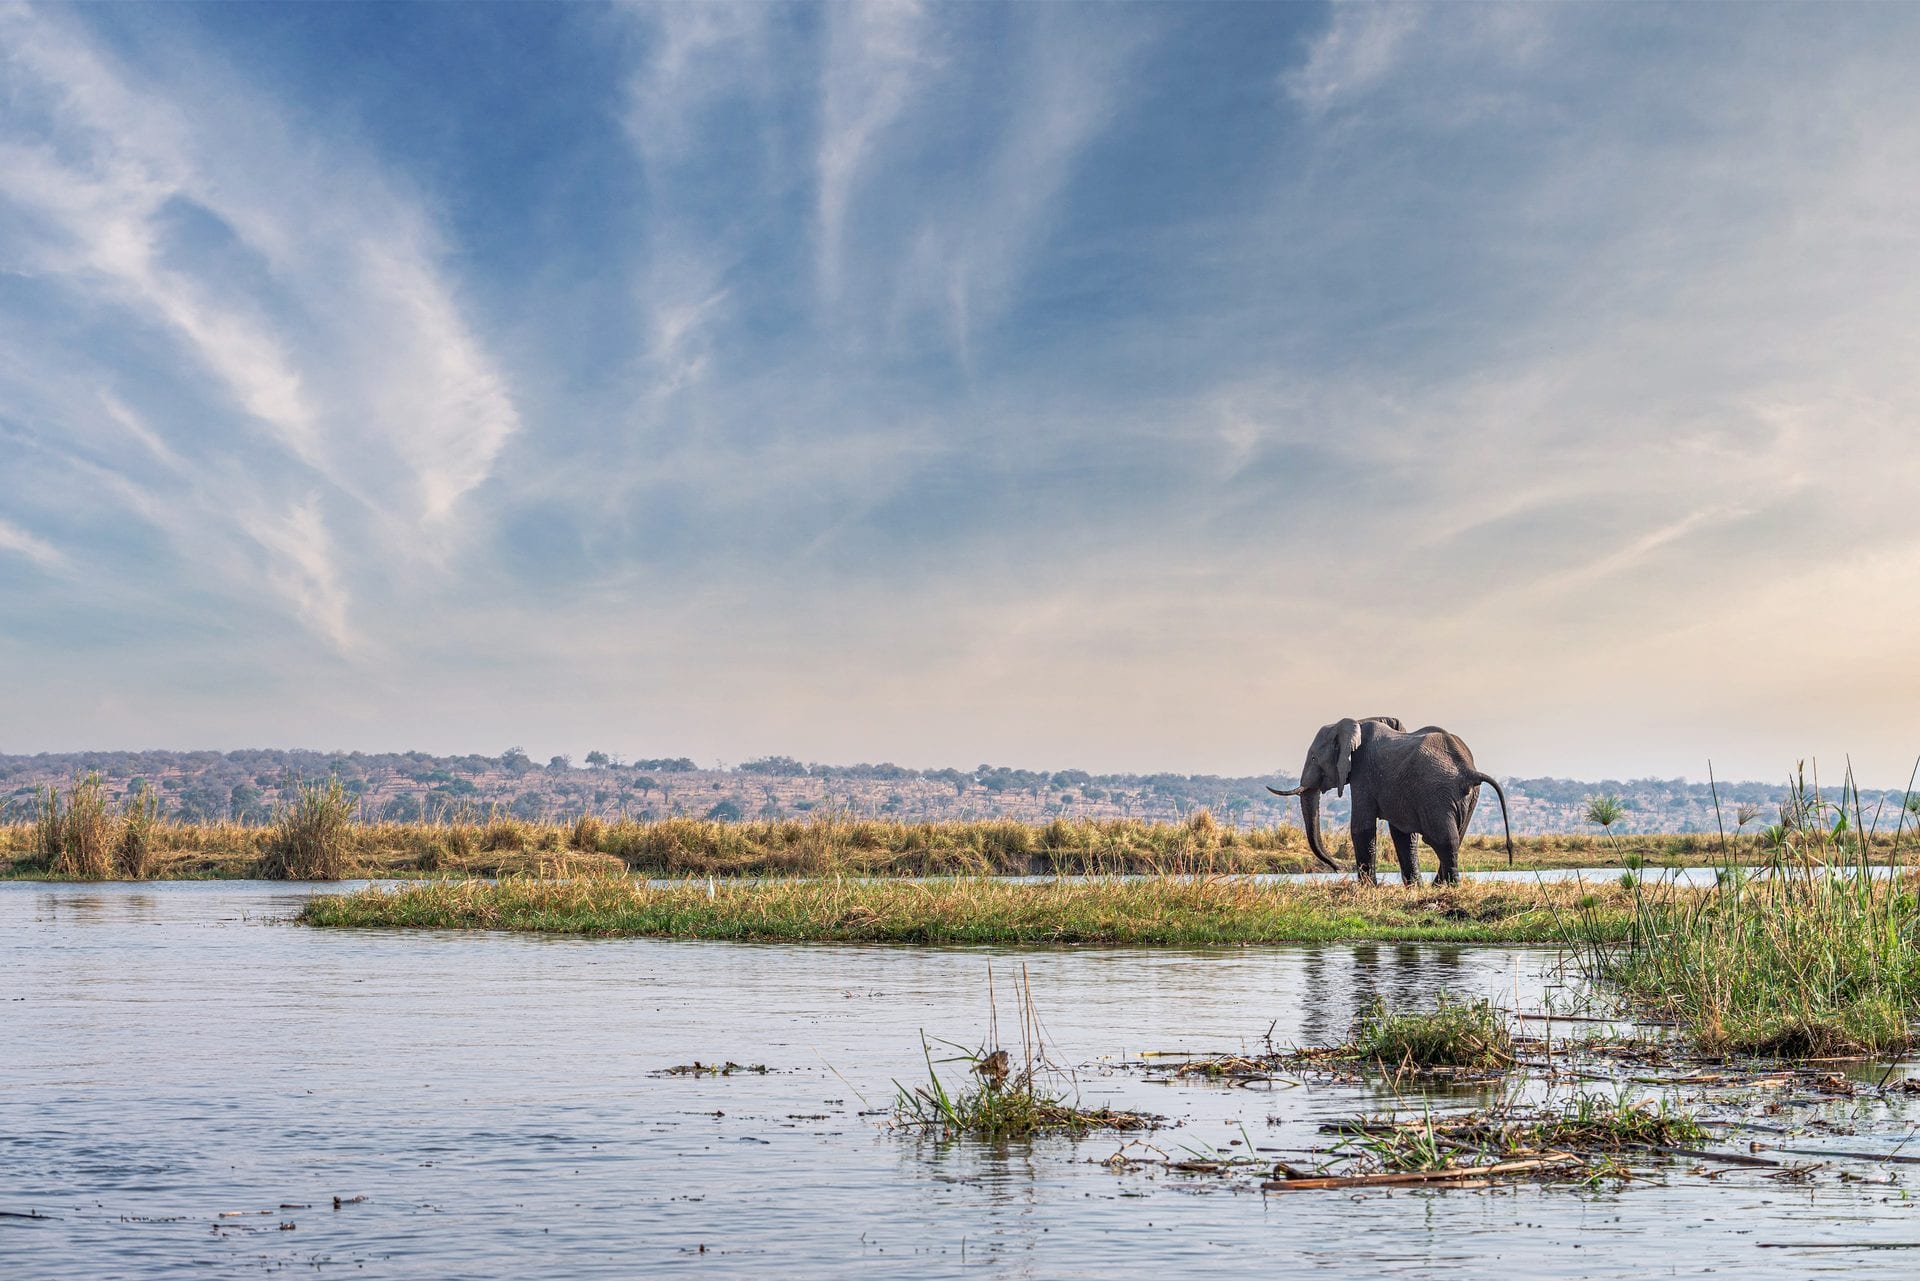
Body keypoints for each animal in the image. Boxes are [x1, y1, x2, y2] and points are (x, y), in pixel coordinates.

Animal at [1267, 716, 1513, 886]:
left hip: (1437, 792)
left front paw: (1368, 888)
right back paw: (1439, 886)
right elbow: (1402, 834)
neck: (1355, 723)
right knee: (1455, 838)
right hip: (1465, 797)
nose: (1338, 868)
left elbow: (1362, 827)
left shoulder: (1363, 773)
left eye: (1314, 758)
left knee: (1444, 839)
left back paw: (1448, 886)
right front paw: (1414, 888)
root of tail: (1468, 770)